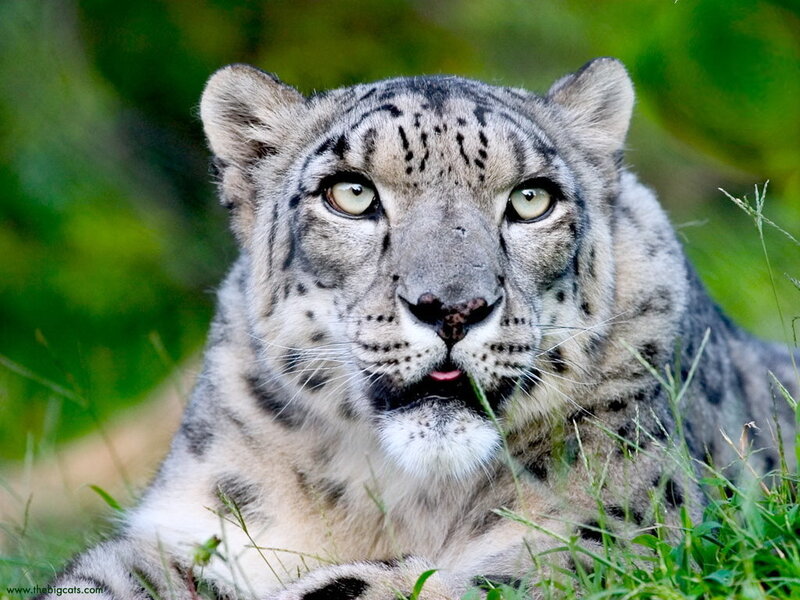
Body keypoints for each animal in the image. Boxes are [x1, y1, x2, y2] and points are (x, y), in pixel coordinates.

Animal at [45, 58, 799, 599]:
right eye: (351, 193)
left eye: (532, 199)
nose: (452, 307)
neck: (399, 501)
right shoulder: (197, 526)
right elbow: (98, 580)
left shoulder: (612, 532)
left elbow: (456, 583)